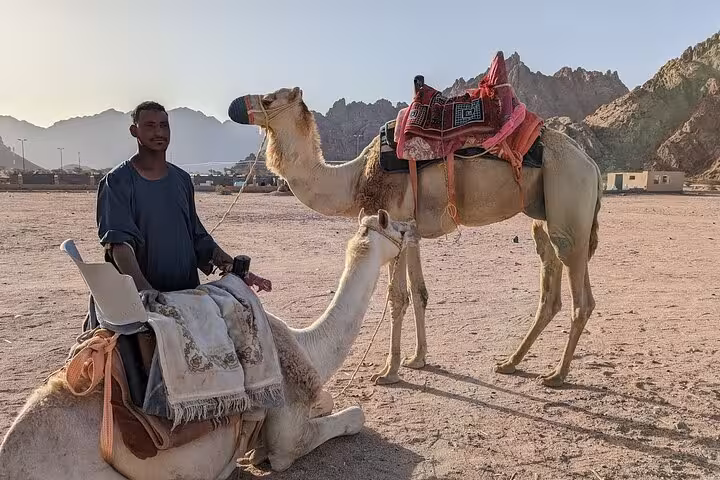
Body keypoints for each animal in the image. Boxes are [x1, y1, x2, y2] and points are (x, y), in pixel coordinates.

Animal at [0, 210, 413, 480]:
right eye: (399, 228)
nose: (414, 227)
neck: (304, 344)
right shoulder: (286, 438)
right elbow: (352, 417)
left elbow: (328, 402)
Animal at [227, 86, 602, 388]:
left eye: (268, 99)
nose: (235, 106)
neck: (354, 178)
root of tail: (592, 165)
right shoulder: (412, 231)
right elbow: (419, 293)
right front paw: (418, 359)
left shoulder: (394, 220)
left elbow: (397, 297)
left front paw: (389, 371)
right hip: (545, 218)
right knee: (550, 288)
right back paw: (511, 363)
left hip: (569, 203)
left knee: (581, 298)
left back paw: (557, 375)